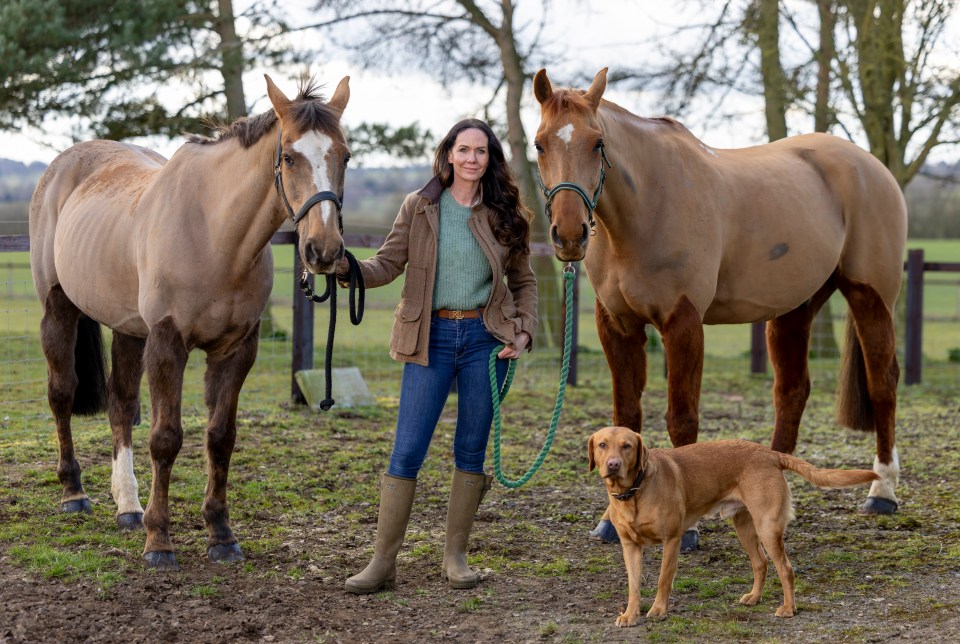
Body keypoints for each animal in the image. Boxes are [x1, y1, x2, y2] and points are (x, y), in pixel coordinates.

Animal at [29, 75, 352, 568]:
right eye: (289, 157)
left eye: (345, 157)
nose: (324, 250)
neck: (215, 235)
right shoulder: (167, 343)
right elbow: (166, 439)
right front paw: (159, 541)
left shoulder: (237, 349)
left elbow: (220, 438)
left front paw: (220, 534)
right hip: (59, 309)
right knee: (62, 394)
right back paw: (74, 493)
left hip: (127, 329)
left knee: (120, 405)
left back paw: (128, 506)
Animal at [532, 66, 908, 540]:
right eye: (539, 143)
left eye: (597, 143)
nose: (568, 234)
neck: (646, 205)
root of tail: (871, 165)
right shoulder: (616, 325)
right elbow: (626, 415)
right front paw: (609, 521)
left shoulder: (683, 322)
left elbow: (682, 418)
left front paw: (687, 527)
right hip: (794, 308)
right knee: (791, 391)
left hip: (871, 297)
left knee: (883, 385)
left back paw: (883, 492)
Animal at [584, 426, 876, 628]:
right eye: (602, 445)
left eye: (627, 446)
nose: (613, 465)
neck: (634, 492)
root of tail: (770, 453)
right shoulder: (630, 547)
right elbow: (633, 586)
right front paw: (630, 615)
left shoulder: (672, 540)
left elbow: (663, 580)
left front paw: (658, 610)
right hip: (745, 527)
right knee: (761, 563)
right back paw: (754, 598)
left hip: (767, 527)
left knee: (786, 569)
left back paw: (788, 609)